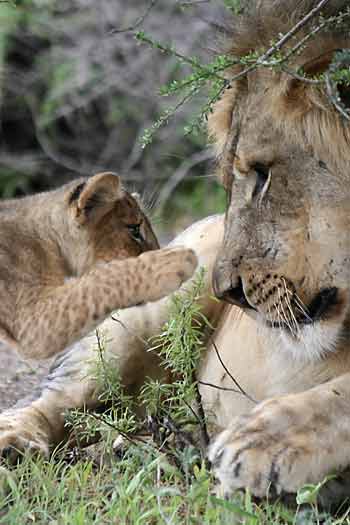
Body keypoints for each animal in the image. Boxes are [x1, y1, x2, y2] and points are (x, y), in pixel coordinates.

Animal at [0, 0, 350, 500]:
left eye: (263, 175)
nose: (230, 293)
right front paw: (256, 447)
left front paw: (263, 443)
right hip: (146, 314)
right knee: (57, 402)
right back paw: (16, 442)